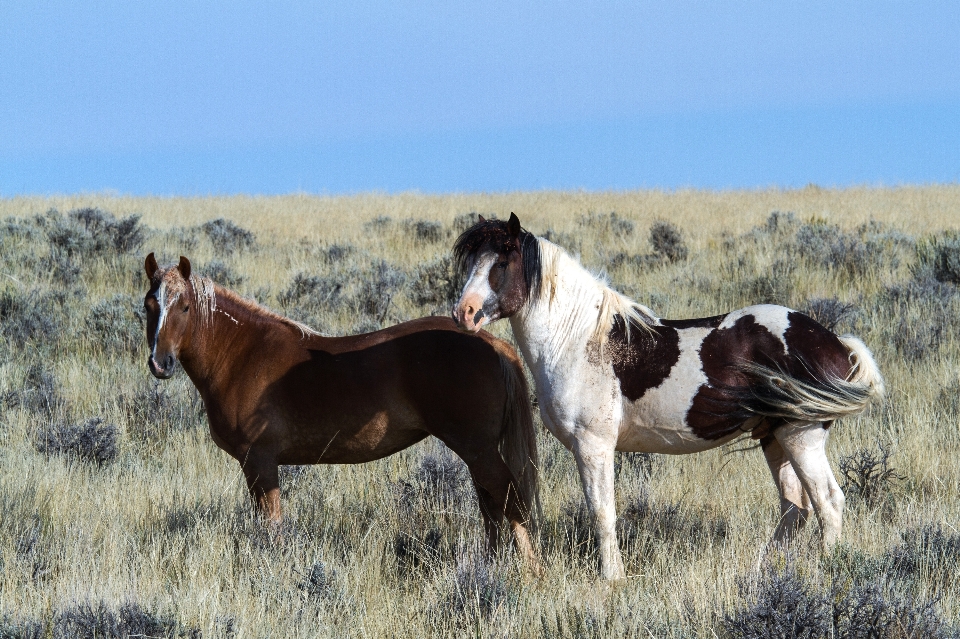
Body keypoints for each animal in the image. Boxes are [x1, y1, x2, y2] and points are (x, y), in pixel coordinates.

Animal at [146, 252, 544, 568]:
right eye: (149, 305)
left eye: (184, 306)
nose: (160, 363)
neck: (243, 354)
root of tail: (491, 342)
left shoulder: (259, 461)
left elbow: (270, 525)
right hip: (477, 452)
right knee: (493, 506)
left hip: (478, 449)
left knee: (511, 500)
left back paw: (529, 572)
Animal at [452, 215, 884, 580]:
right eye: (472, 264)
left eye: (501, 263)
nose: (463, 313)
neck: (577, 339)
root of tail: (834, 342)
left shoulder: (593, 446)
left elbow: (602, 513)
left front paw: (613, 579)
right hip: (774, 437)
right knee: (795, 507)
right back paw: (765, 570)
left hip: (801, 434)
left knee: (828, 502)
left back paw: (826, 568)